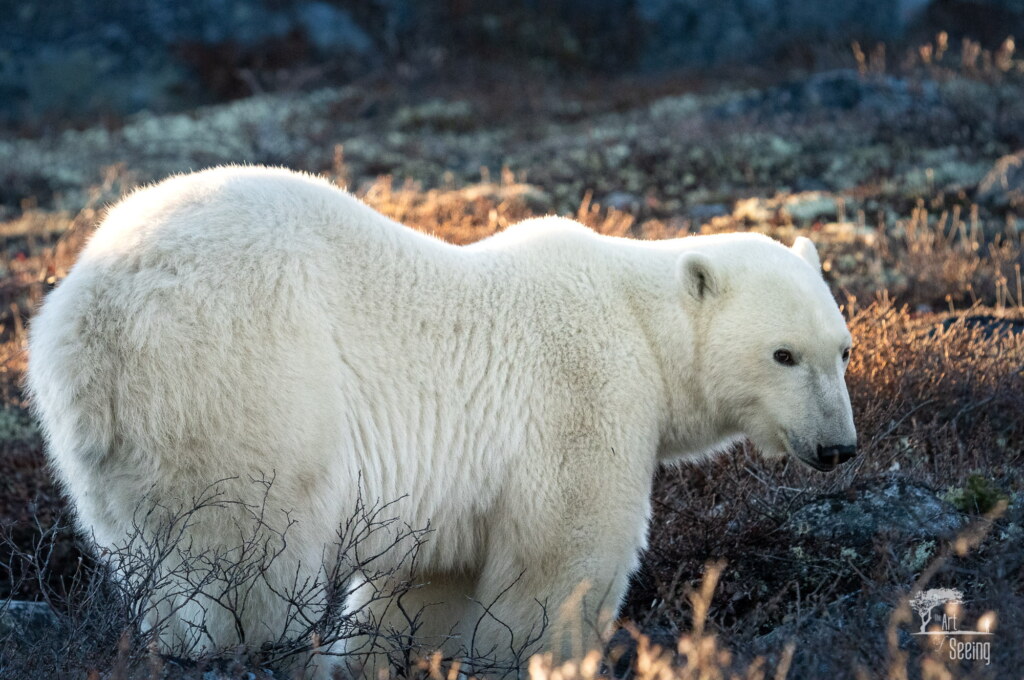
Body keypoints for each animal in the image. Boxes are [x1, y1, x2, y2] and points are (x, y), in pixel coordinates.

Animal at [26, 165, 857, 678]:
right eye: (783, 354)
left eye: (842, 350)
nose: (838, 448)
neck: (637, 318)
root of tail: (95, 318)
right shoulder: (582, 395)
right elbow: (563, 563)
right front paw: (542, 655)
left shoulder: (452, 498)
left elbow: (423, 590)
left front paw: (374, 657)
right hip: (247, 389)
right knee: (250, 564)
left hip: (116, 455)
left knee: (152, 563)